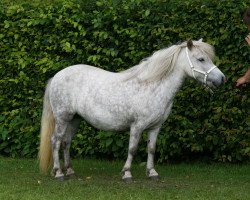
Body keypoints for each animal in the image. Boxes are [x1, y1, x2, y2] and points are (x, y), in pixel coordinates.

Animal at [38, 39, 226, 181]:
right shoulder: (137, 126)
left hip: (75, 119)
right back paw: (59, 173)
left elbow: (151, 149)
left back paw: (70, 171)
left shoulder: (155, 127)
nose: (222, 79)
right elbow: (132, 149)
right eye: (201, 59)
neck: (153, 86)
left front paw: (152, 173)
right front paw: (127, 173)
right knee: (55, 141)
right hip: (62, 118)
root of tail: (57, 76)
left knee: (66, 142)